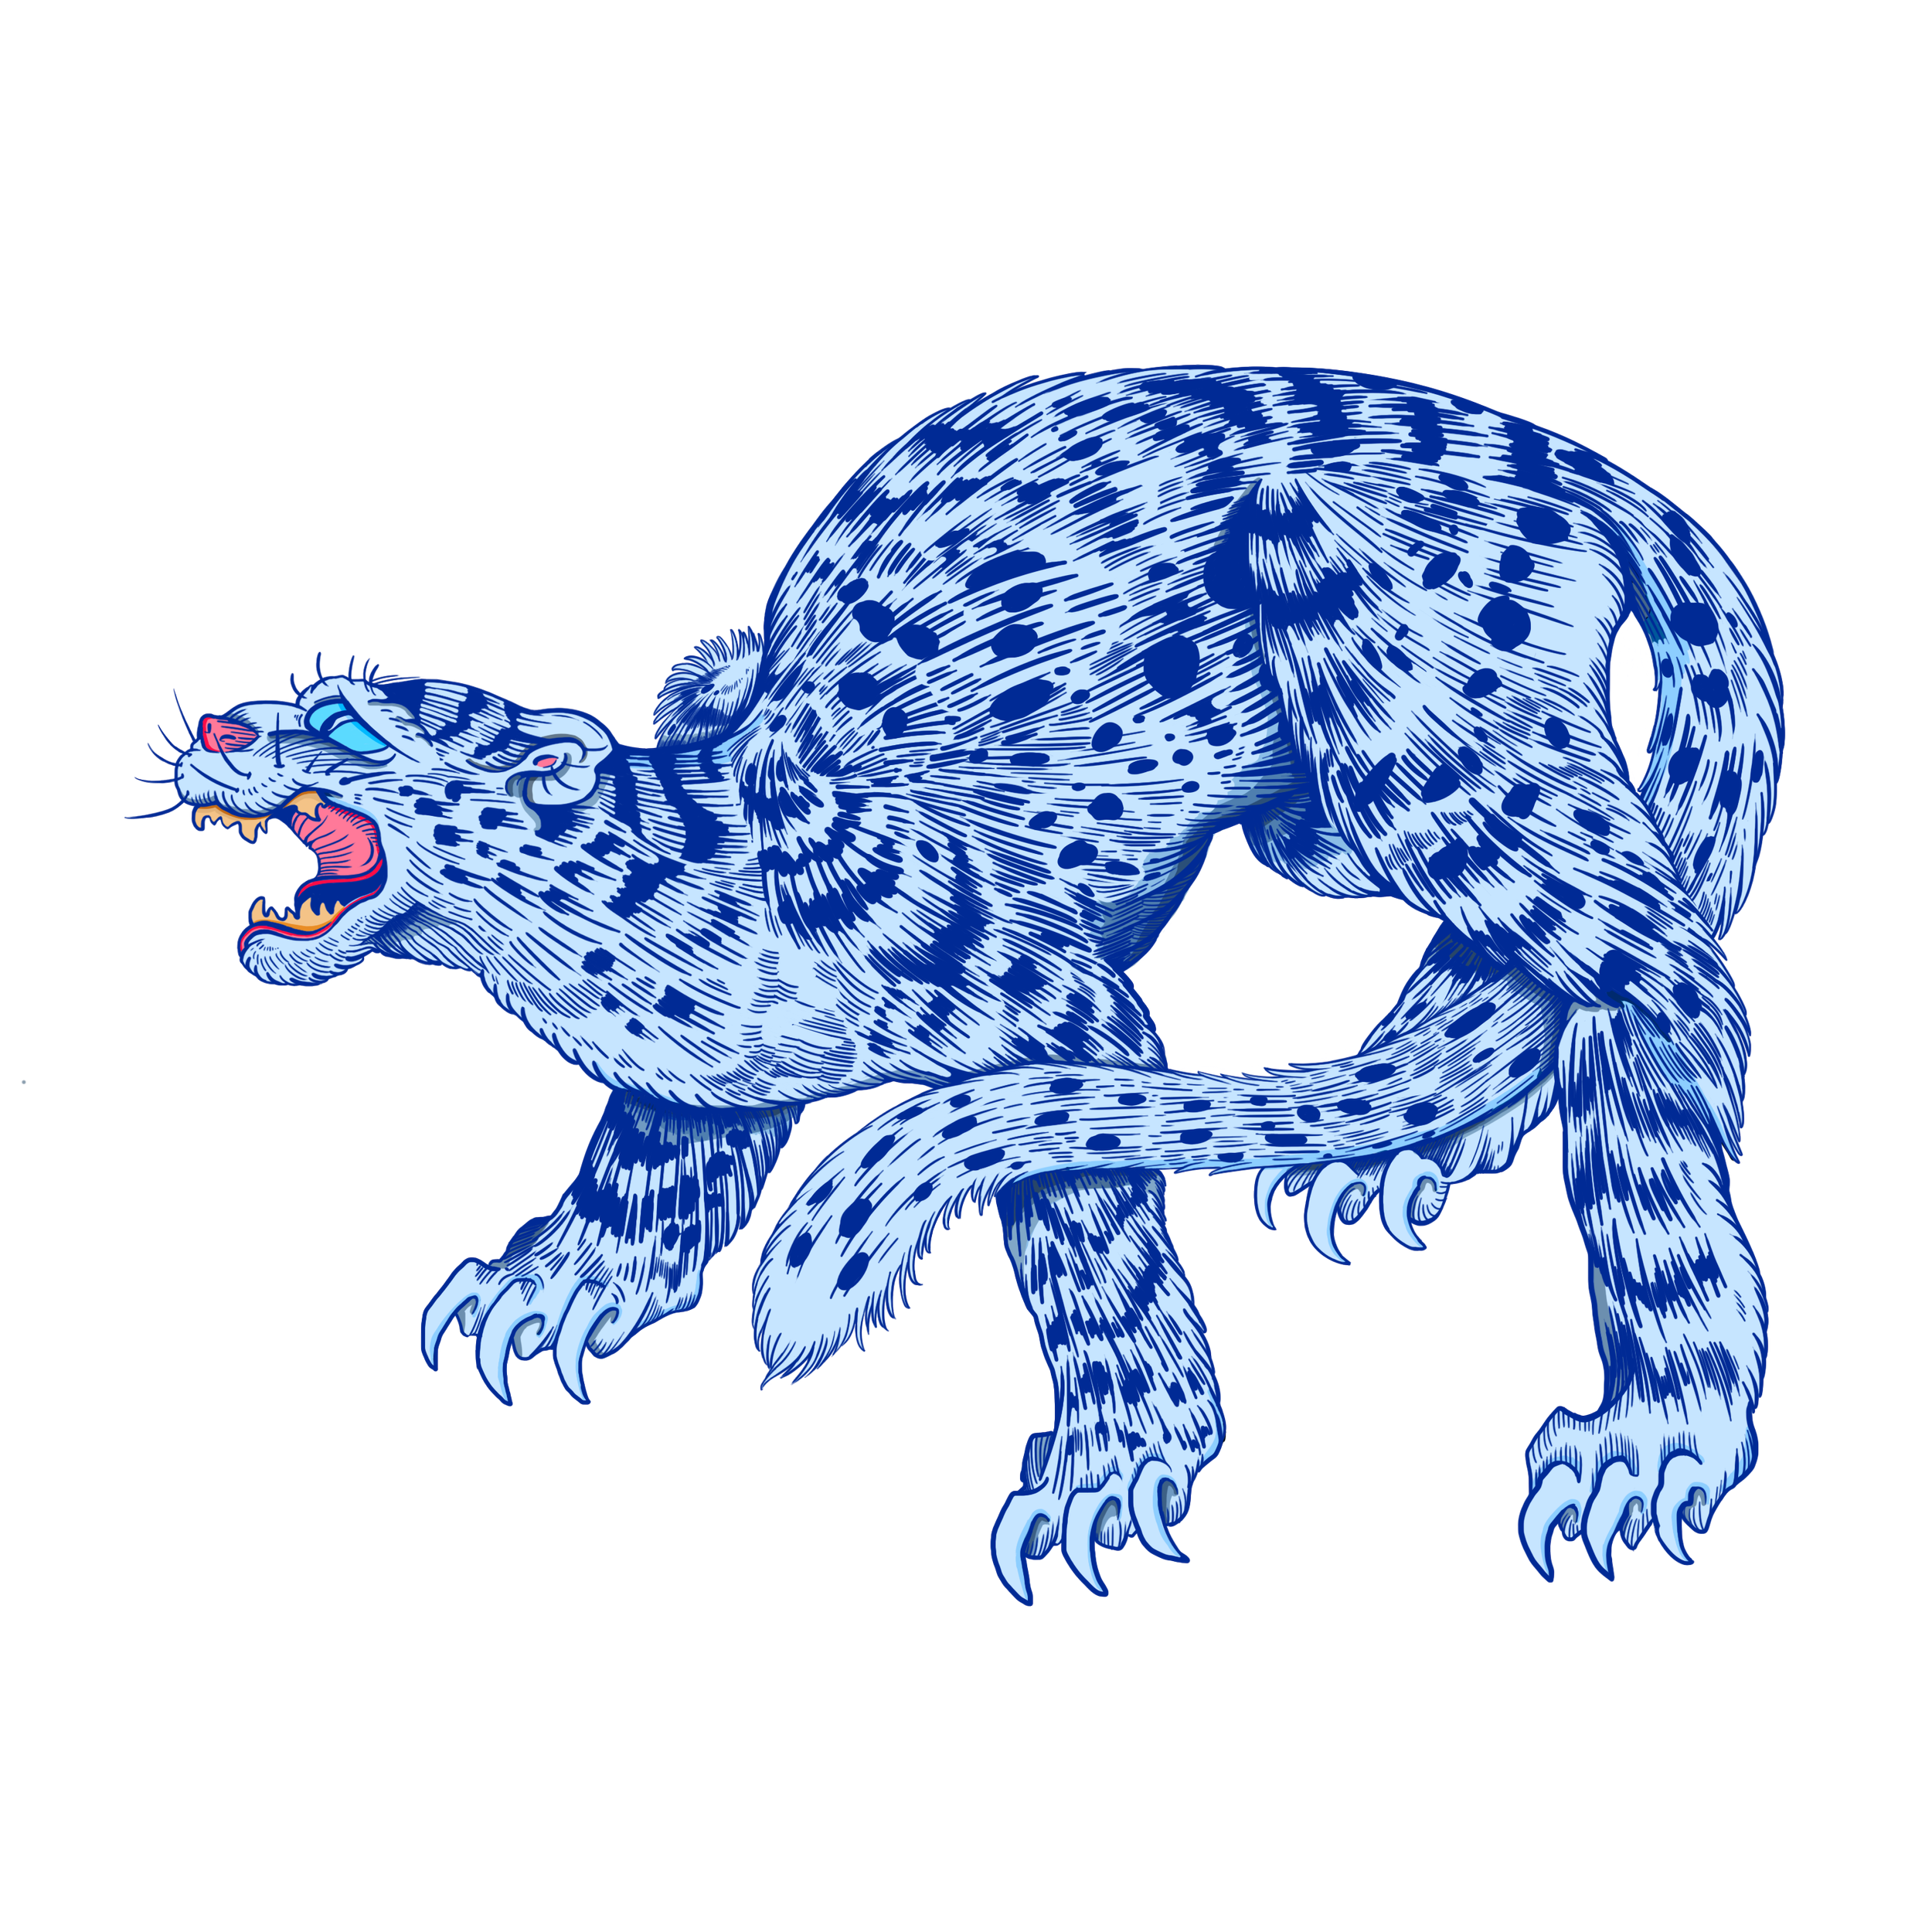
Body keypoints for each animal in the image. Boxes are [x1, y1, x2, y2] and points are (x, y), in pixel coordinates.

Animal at [136, 364, 1784, 1604]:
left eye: (350, 728)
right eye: (291, 697)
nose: (211, 729)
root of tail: (1560, 452)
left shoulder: (1058, 1010)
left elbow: (1085, 1218)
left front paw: (1115, 1459)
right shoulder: (697, 1076)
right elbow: (659, 1167)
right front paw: (558, 1280)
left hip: (1405, 724)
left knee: (1668, 980)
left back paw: (1653, 1427)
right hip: (1327, 824)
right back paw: (1412, 1139)